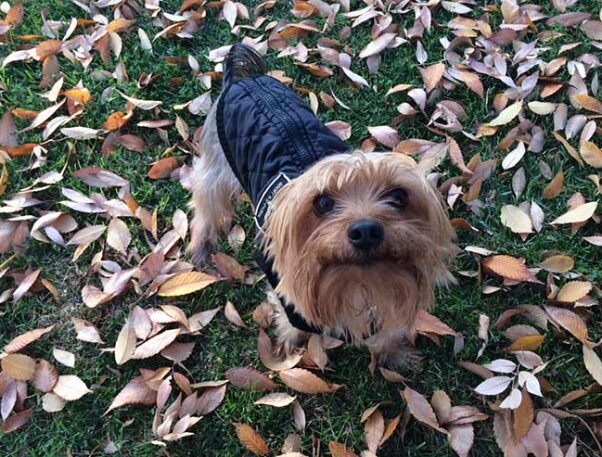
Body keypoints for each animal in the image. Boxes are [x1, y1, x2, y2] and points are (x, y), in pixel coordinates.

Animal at [188, 43, 454, 366]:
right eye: (323, 202)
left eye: (398, 196)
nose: (366, 231)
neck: (359, 282)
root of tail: (244, 77)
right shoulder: (285, 289)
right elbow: (291, 320)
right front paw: (289, 347)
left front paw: (393, 354)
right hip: (216, 162)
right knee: (205, 201)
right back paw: (201, 246)